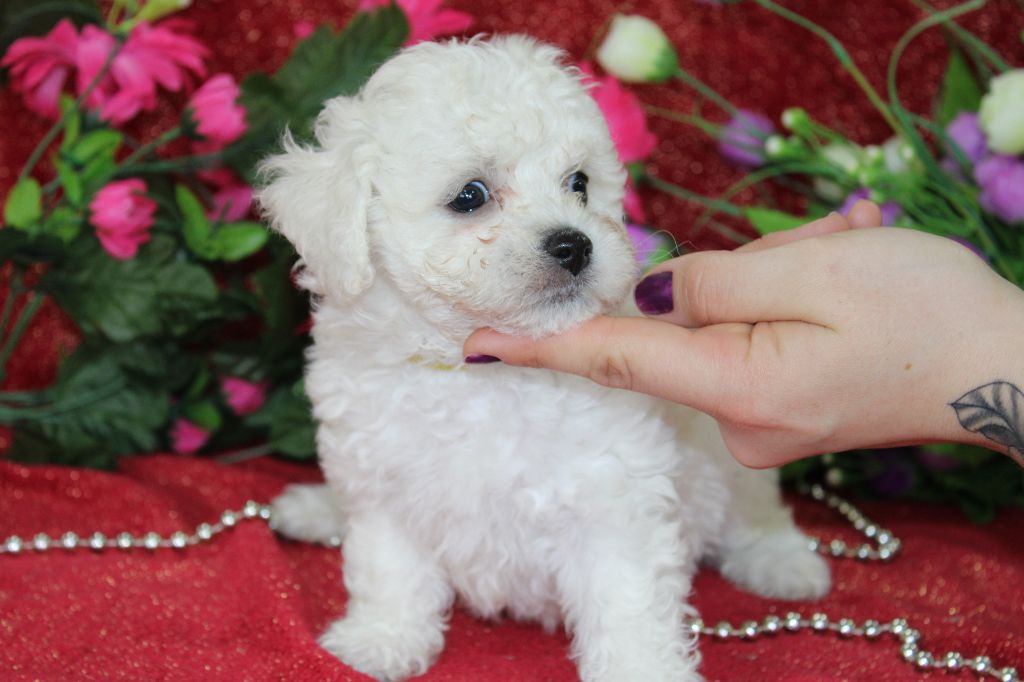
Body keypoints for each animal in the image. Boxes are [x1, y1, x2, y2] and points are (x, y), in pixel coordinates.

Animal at [258, 35, 830, 682]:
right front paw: (381, 639)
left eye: (578, 183)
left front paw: (641, 668)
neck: (478, 375)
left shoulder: (614, 496)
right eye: (470, 196)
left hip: (723, 454)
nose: (573, 244)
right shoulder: (382, 486)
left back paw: (784, 563)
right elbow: (391, 571)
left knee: (757, 510)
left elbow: (626, 600)